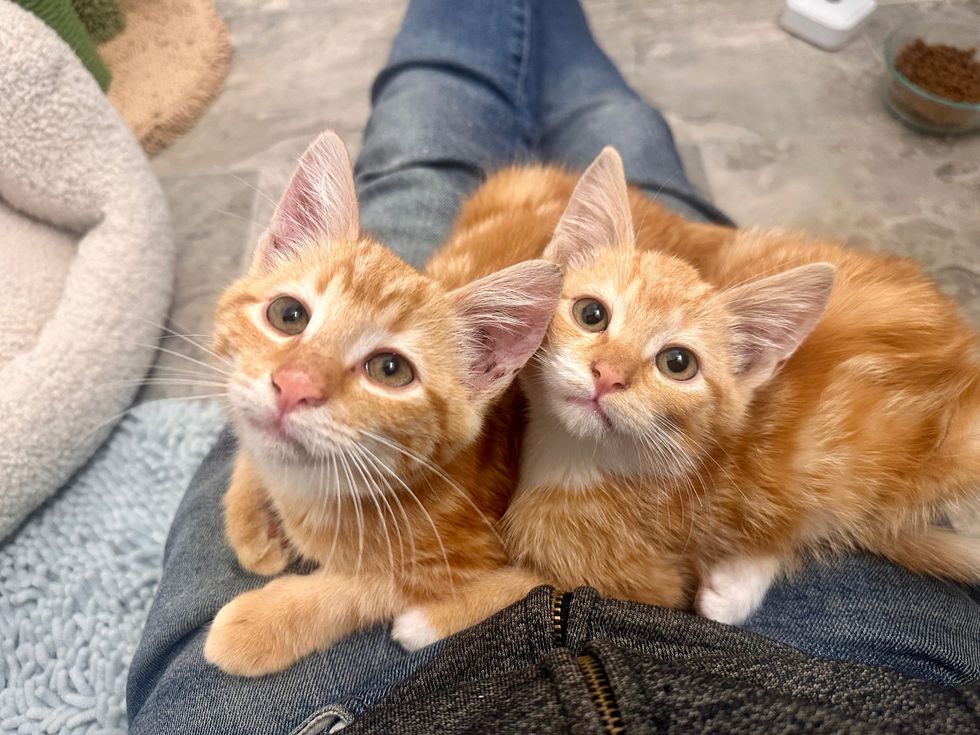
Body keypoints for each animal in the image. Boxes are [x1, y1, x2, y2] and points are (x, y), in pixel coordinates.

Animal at [203, 134, 564, 680]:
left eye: (390, 370)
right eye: (288, 315)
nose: (293, 385)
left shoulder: (464, 554)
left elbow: (367, 587)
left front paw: (258, 625)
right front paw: (251, 524)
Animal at [390, 150, 980, 648]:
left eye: (678, 364)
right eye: (591, 314)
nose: (609, 375)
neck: (572, 456)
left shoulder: (645, 580)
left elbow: (538, 585)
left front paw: (430, 618)